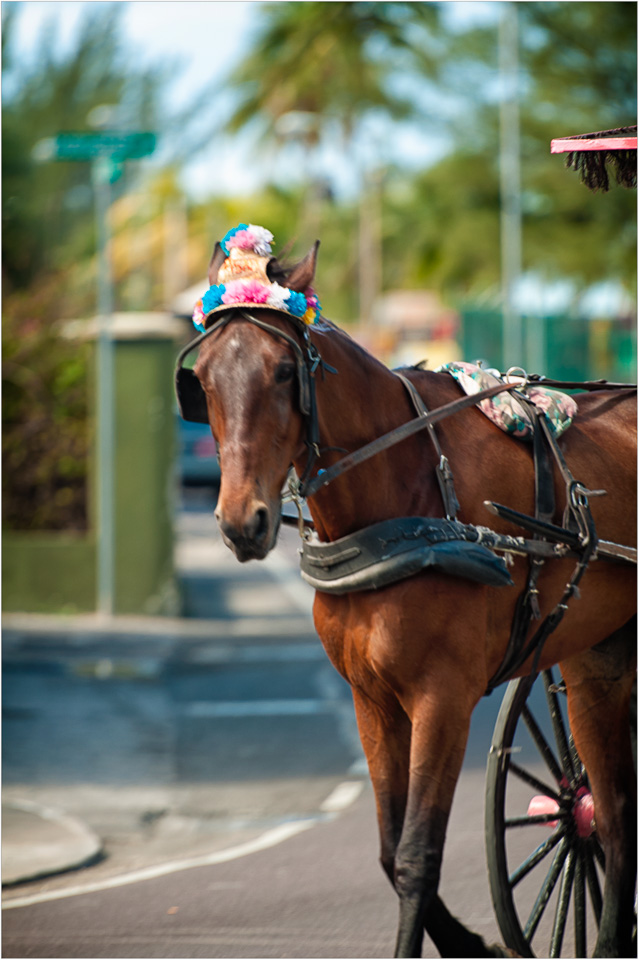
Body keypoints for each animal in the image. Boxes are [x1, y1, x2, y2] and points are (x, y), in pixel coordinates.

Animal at [184, 244, 636, 956]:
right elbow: (388, 851)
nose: (241, 522)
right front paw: (468, 940)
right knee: (614, 819)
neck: (406, 496)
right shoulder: (372, 700)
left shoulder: (441, 698)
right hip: (598, 660)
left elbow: (418, 854)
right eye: (201, 379)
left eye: (284, 371)